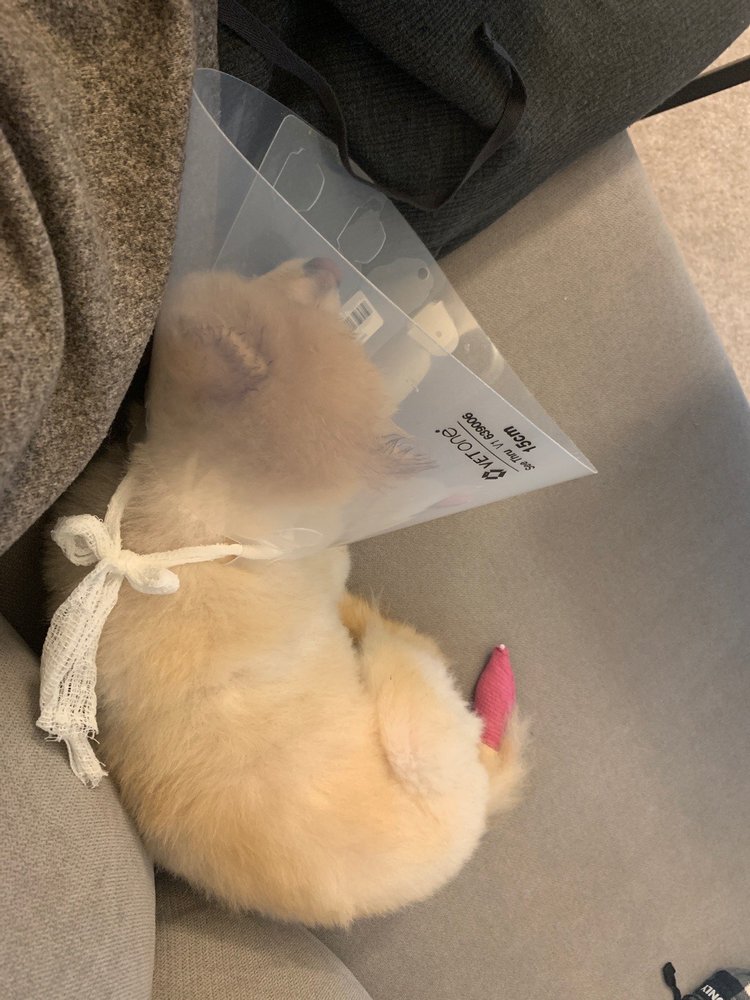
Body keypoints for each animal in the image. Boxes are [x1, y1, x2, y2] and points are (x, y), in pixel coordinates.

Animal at [45, 258, 524, 927]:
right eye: (292, 291)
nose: (326, 264)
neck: (203, 511)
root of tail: (473, 825)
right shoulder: (328, 556)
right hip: (414, 714)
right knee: (420, 668)